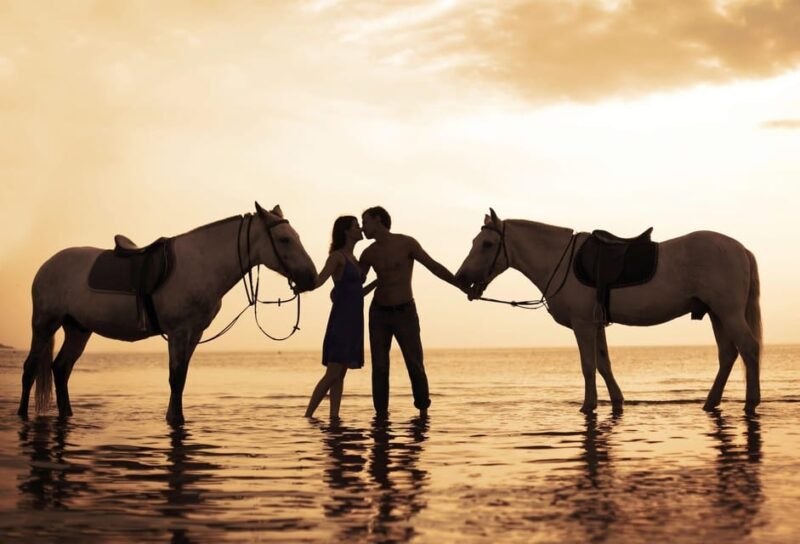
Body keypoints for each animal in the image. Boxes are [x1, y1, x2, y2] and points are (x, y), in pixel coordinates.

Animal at [17, 202, 318, 425]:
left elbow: (181, 377)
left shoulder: (193, 334)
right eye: (284, 239)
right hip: (44, 324)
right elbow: (175, 377)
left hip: (78, 329)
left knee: (61, 368)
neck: (202, 263)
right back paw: (22, 414)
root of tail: (47, 265)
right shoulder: (178, 332)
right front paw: (175, 419)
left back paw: (67, 414)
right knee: (31, 368)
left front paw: (176, 417)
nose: (311, 278)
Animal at [455, 209, 762, 415]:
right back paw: (710, 402)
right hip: (717, 314)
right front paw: (617, 401)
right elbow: (604, 363)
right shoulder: (597, 324)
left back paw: (751, 402)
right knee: (728, 355)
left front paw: (588, 405)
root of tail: (741, 249)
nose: (460, 278)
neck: (559, 261)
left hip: (729, 312)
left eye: (487, 244)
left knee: (749, 348)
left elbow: (588, 365)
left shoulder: (582, 325)